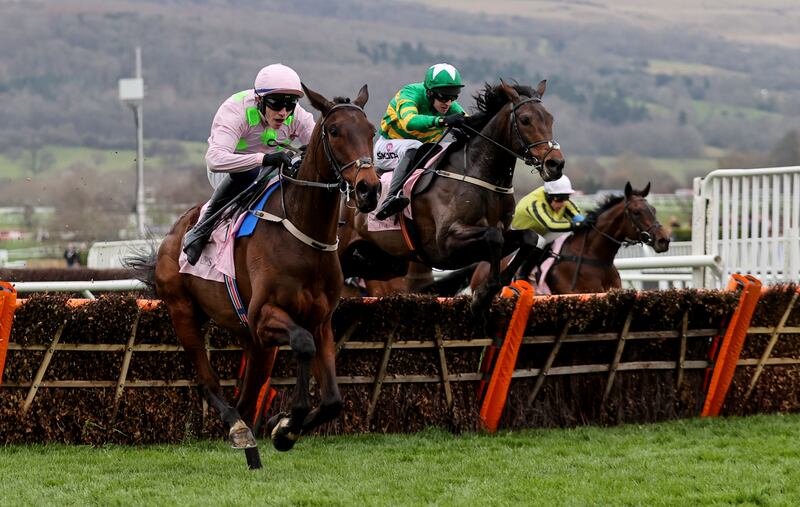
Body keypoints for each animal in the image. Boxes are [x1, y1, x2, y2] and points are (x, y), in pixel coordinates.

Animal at [132, 86, 382, 464]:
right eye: (335, 131)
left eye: (371, 131)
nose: (369, 189)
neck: (304, 235)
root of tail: (173, 233)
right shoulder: (265, 317)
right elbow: (302, 344)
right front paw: (289, 421)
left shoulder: (320, 322)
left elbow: (334, 401)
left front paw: (284, 427)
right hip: (183, 312)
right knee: (208, 381)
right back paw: (237, 427)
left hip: (252, 340)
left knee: (247, 395)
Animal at [340, 80, 564, 314]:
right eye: (525, 119)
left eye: (550, 118)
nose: (555, 164)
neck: (478, 173)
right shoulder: (444, 245)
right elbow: (494, 236)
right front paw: (484, 293)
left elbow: (528, 237)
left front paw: (495, 288)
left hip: (382, 262)